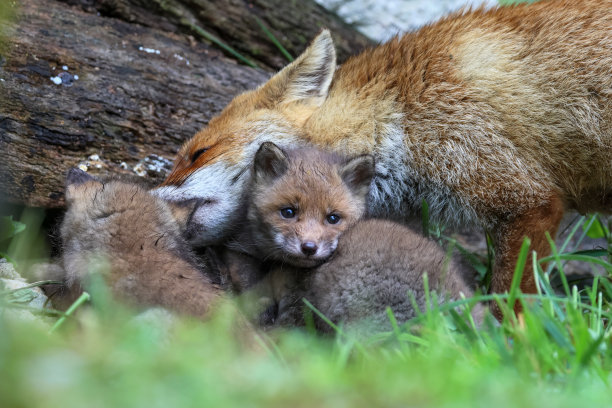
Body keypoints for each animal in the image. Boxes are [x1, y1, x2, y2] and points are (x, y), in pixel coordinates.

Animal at [157, 0, 612, 312]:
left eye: (197, 154)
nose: (150, 197)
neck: (398, 114)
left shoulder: (525, 198)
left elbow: (510, 302)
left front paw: (512, 350)